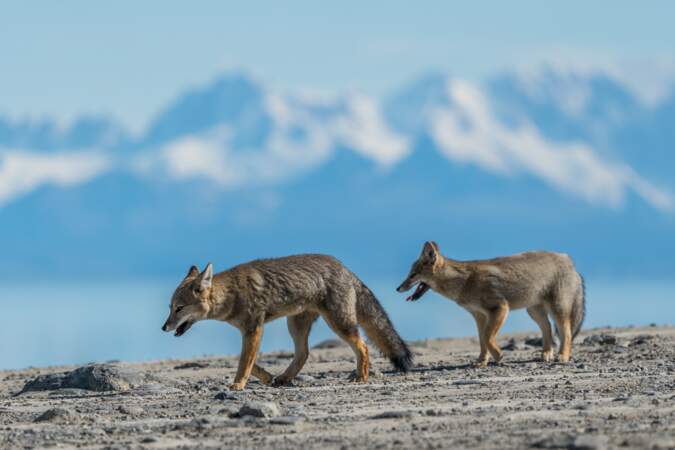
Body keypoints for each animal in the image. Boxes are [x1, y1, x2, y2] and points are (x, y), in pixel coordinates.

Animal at [162, 253, 412, 390]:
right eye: (170, 308)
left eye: (179, 308)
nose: (164, 327)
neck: (232, 294)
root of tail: (346, 268)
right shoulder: (249, 332)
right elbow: (246, 361)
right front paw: (266, 377)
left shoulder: (254, 329)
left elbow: (244, 362)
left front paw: (238, 384)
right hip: (295, 326)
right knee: (303, 354)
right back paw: (283, 378)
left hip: (339, 324)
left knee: (363, 346)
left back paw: (361, 376)